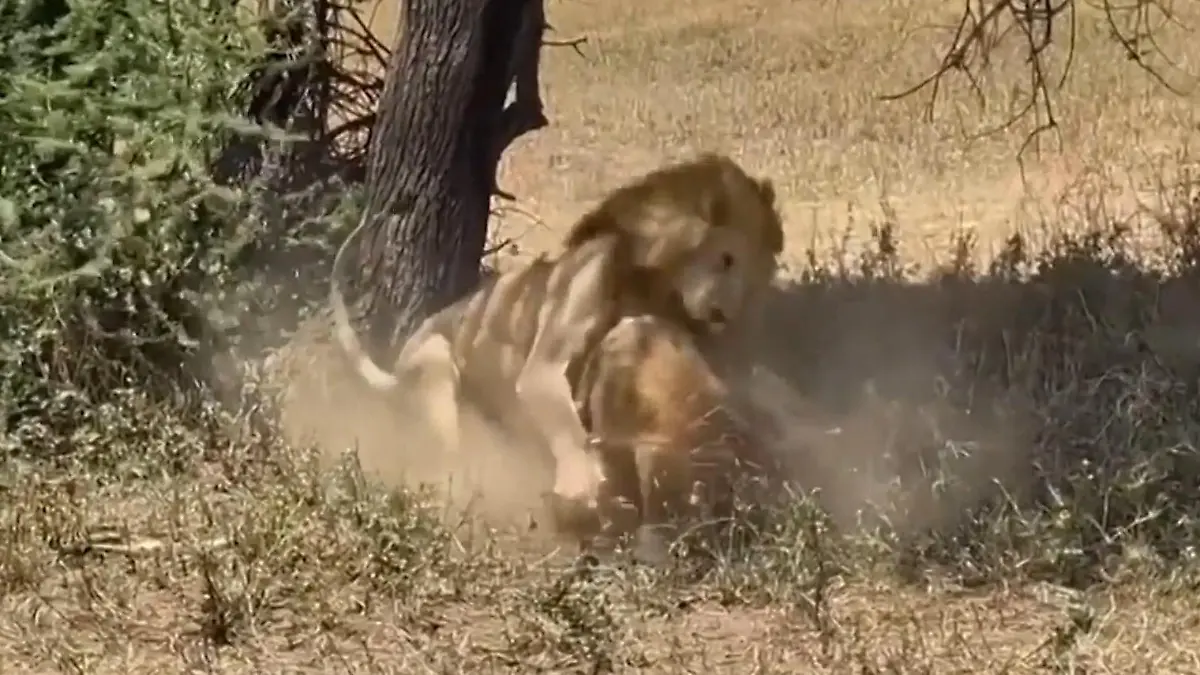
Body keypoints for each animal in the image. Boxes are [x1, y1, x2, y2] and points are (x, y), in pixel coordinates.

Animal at [328, 153, 785, 524]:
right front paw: (584, 483)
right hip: (436, 364)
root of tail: (395, 369)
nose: (725, 313)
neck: (656, 287)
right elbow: (565, 422)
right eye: (726, 259)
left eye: (753, 278)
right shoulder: (565, 323)